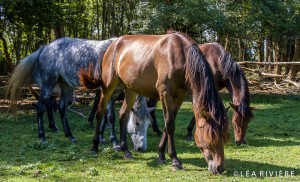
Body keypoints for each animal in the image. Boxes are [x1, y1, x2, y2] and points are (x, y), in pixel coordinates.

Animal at [79, 32, 230, 174]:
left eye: (224, 136)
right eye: (212, 137)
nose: (219, 168)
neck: (181, 57)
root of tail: (113, 44)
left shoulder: (180, 96)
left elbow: (169, 124)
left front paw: (161, 155)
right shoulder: (164, 93)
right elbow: (170, 124)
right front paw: (175, 160)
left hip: (130, 90)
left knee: (123, 115)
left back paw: (126, 151)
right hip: (108, 86)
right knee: (100, 112)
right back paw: (94, 146)